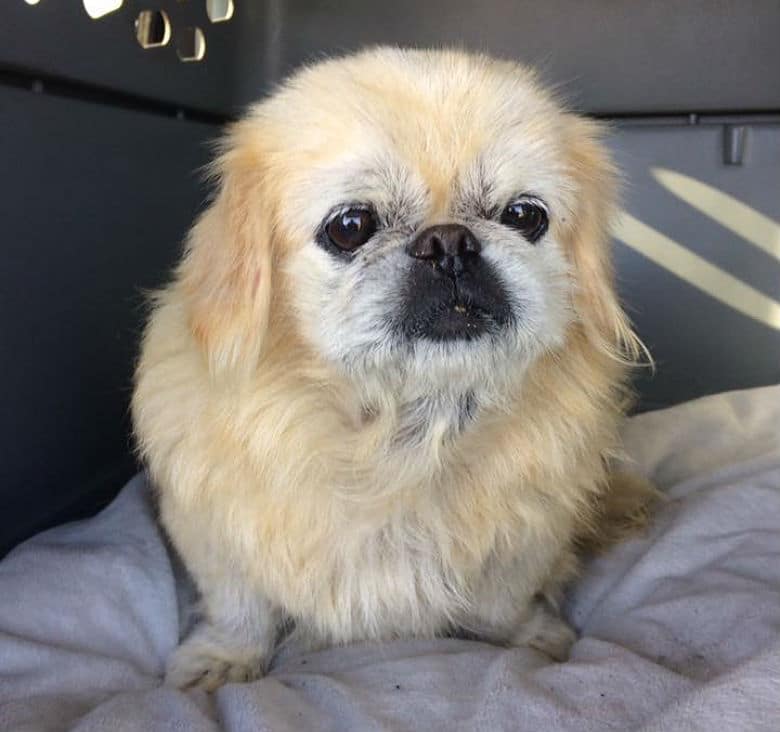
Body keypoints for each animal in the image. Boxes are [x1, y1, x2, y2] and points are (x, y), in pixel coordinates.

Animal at [131, 47, 656, 692]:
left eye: (523, 215)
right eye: (350, 226)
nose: (449, 242)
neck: (407, 430)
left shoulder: (527, 541)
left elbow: (502, 602)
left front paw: (529, 638)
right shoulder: (216, 534)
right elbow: (240, 607)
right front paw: (224, 662)